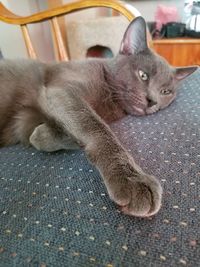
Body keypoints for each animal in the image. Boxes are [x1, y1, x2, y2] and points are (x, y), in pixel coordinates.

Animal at [0, 16, 197, 218]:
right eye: (143, 75)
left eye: (166, 92)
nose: (153, 101)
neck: (111, 103)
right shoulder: (62, 90)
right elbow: (97, 127)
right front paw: (132, 180)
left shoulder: (27, 120)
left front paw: (41, 136)